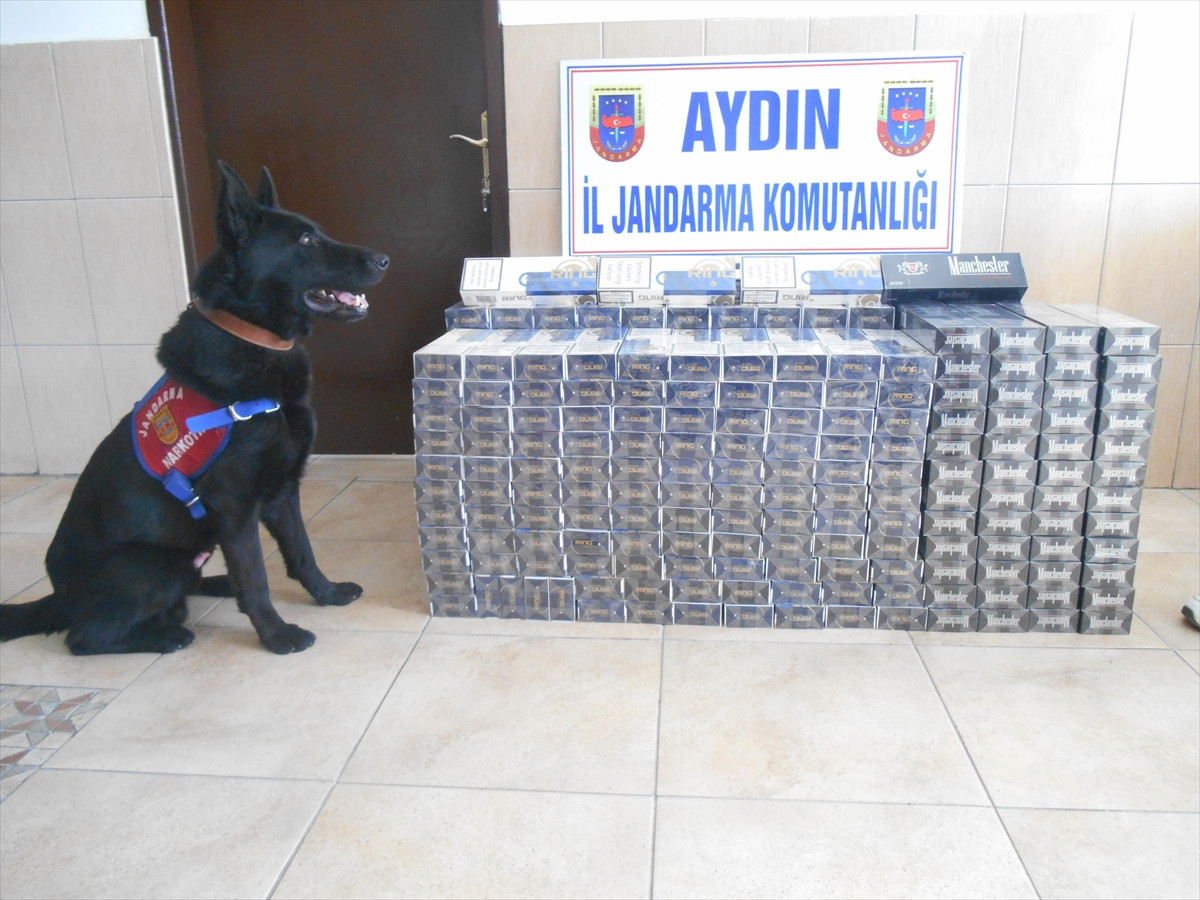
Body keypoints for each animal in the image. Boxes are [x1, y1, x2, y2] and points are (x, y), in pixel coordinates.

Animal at [0, 162, 388, 655]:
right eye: (305, 241)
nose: (384, 259)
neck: (251, 337)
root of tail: (61, 598)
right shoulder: (234, 506)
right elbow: (256, 578)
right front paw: (277, 635)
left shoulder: (281, 492)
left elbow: (302, 552)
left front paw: (328, 593)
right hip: (156, 566)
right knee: (85, 638)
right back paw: (167, 635)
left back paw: (216, 586)